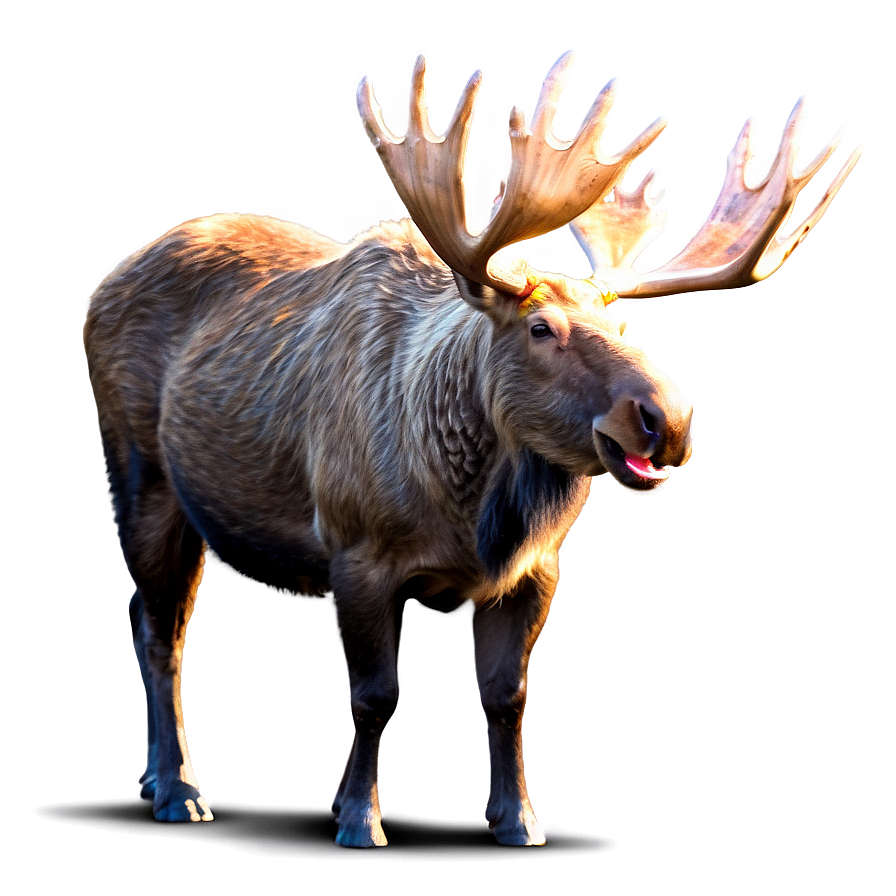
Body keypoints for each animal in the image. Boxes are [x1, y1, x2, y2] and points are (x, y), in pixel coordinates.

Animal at [84, 49, 862, 847]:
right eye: (541, 328)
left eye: (623, 329)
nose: (669, 420)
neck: (468, 521)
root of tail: (107, 283)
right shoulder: (356, 550)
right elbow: (374, 696)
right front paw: (360, 822)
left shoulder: (535, 572)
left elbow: (506, 696)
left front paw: (517, 820)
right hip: (139, 467)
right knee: (161, 631)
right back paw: (179, 791)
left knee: (139, 616)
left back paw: (155, 779)